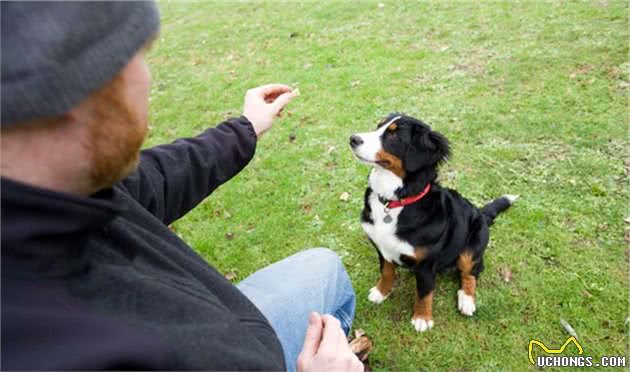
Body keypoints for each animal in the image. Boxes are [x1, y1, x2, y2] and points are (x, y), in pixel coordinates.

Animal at [350, 115, 520, 332]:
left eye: (394, 135)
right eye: (378, 126)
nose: (353, 139)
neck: (394, 202)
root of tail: (480, 213)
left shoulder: (426, 264)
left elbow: (424, 293)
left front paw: (422, 318)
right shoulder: (382, 249)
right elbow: (387, 272)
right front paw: (381, 292)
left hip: (472, 247)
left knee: (471, 273)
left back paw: (466, 300)